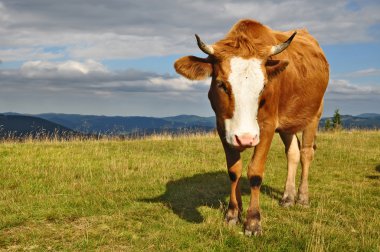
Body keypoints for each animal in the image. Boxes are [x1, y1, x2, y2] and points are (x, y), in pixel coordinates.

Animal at [174, 19, 328, 236]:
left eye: (264, 86)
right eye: (221, 85)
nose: (245, 139)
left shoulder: (267, 126)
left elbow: (255, 172)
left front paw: (253, 221)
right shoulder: (222, 127)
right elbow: (234, 170)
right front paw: (233, 213)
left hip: (314, 114)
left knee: (306, 153)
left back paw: (302, 198)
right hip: (287, 123)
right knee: (293, 153)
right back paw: (287, 197)